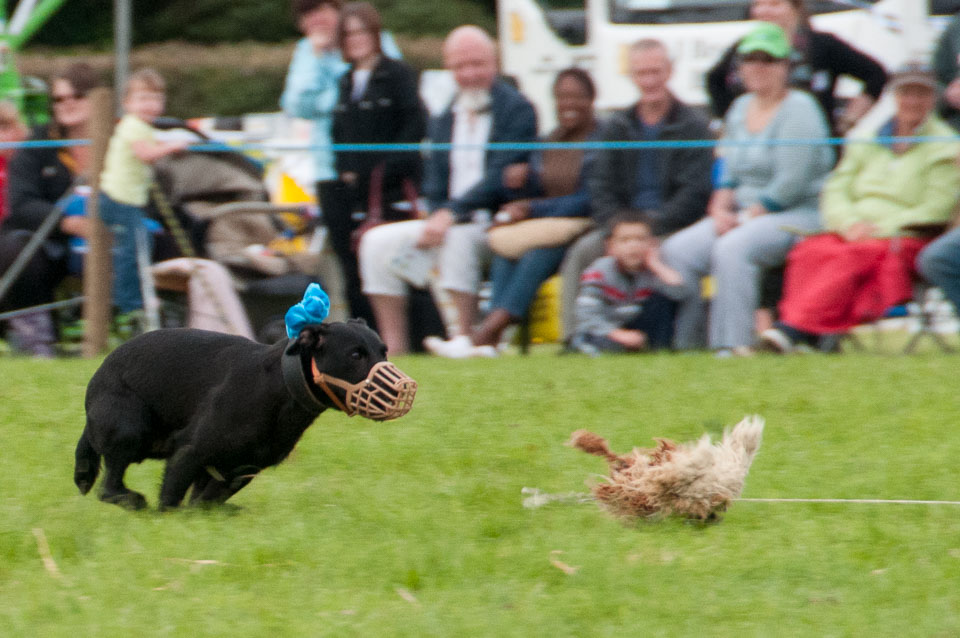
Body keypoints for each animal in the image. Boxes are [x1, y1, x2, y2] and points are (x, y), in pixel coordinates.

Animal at [73, 322, 414, 512]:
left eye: (383, 351)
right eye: (355, 355)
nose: (406, 387)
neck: (279, 388)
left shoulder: (238, 470)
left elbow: (202, 504)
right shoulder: (190, 452)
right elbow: (169, 501)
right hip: (128, 429)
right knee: (109, 488)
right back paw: (133, 502)